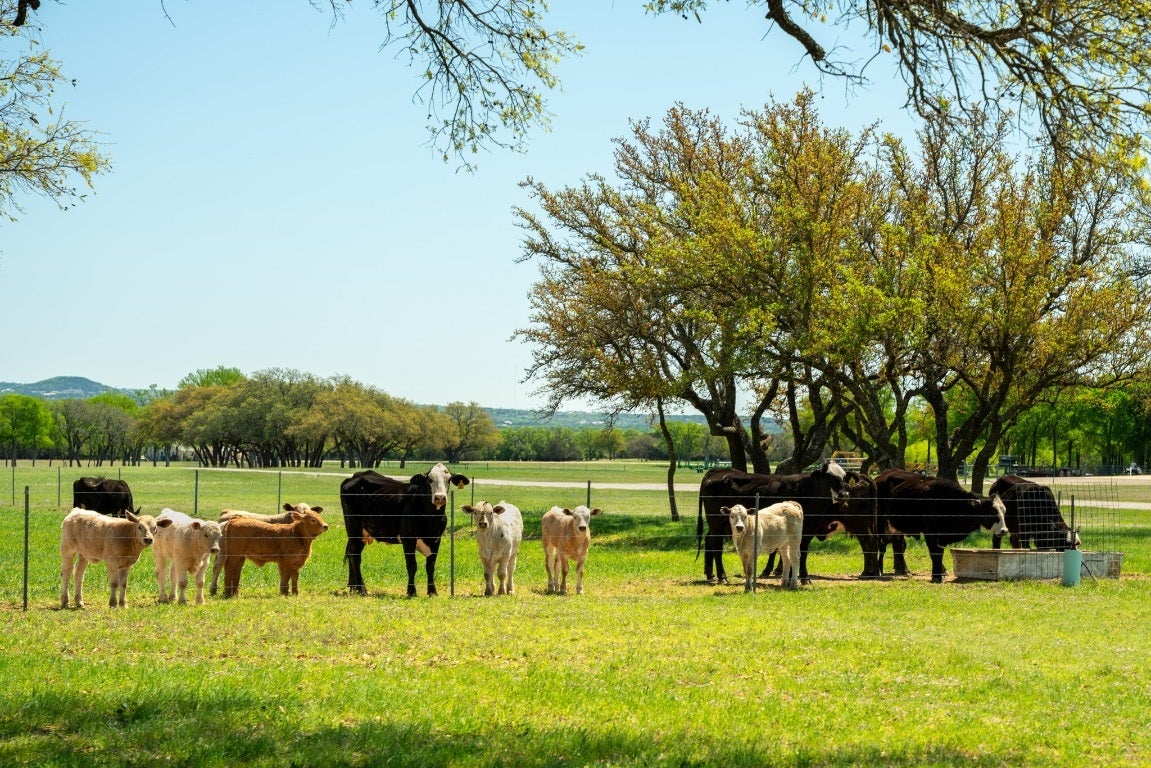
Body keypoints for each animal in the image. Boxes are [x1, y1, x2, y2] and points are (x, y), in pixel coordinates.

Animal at [339, 462, 470, 597]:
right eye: (429, 479)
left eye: (448, 480)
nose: (440, 497)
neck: (431, 519)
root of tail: (356, 476)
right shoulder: (408, 538)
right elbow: (412, 566)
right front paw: (411, 591)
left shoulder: (436, 539)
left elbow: (430, 566)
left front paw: (432, 591)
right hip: (354, 529)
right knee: (355, 556)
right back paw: (361, 589)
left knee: (352, 553)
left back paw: (353, 586)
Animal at [698, 460, 879, 585]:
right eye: (829, 477)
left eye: (844, 477)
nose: (844, 495)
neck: (806, 490)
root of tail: (717, 471)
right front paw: (802, 577)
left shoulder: (807, 530)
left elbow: (801, 552)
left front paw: (798, 576)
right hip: (716, 523)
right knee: (716, 545)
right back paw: (721, 577)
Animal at [874, 469, 1009, 583]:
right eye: (992, 512)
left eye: (1004, 511)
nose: (1004, 530)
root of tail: (881, 477)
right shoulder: (930, 532)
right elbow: (935, 553)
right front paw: (936, 577)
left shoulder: (942, 535)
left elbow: (940, 553)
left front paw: (939, 573)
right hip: (880, 524)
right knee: (881, 545)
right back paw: (878, 570)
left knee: (898, 545)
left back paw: (903, 570)